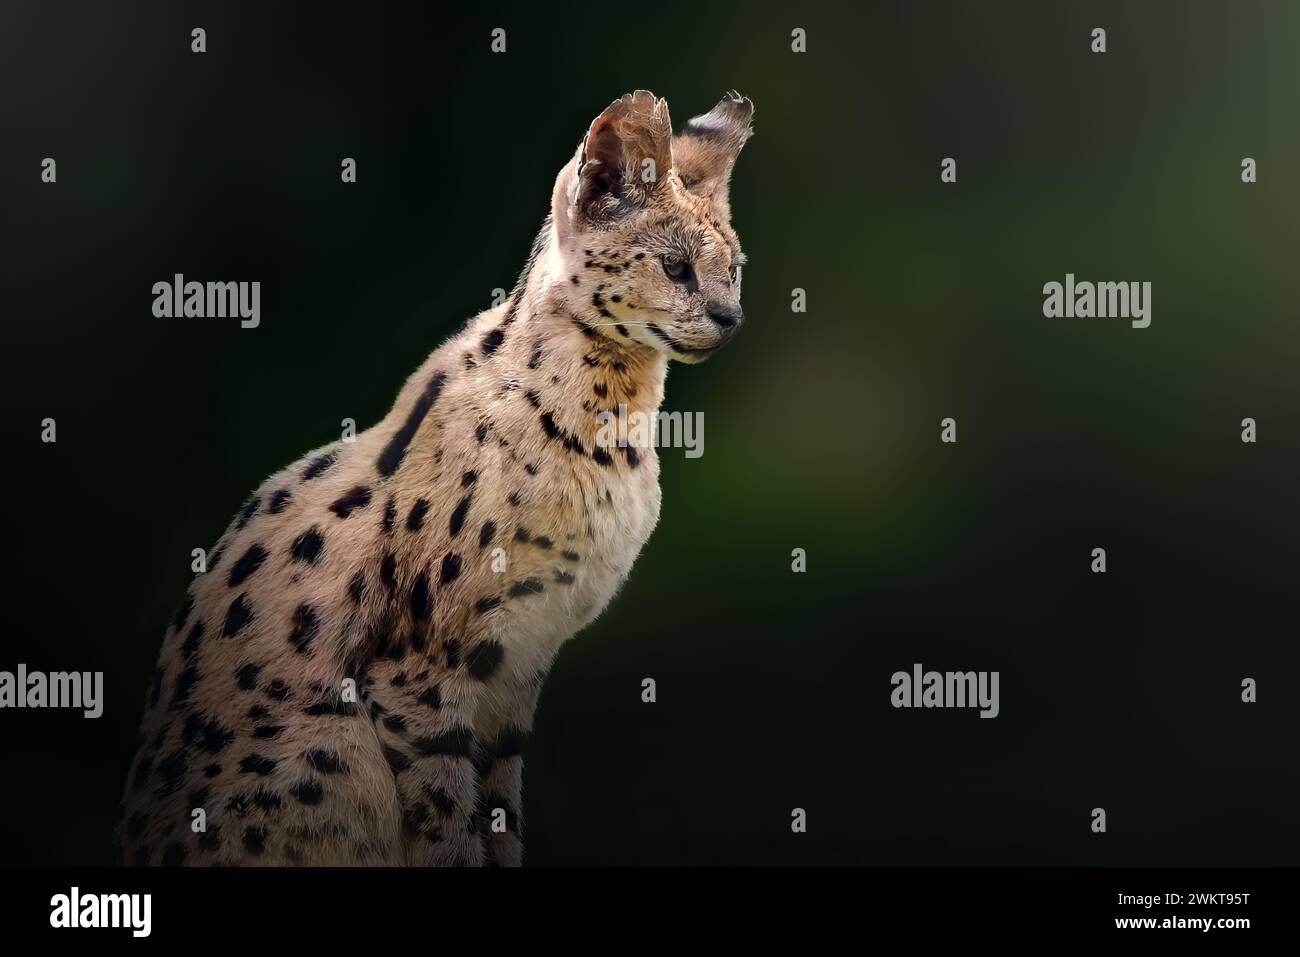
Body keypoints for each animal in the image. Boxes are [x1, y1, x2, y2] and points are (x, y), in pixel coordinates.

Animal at [116, 91, 759, 868]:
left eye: (735, 269)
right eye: (675, 268)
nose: (731, 318)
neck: (611, 432)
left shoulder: (517, 675)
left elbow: (501, 819)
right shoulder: (421, 677)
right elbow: (449, 824)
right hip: (335, 747)